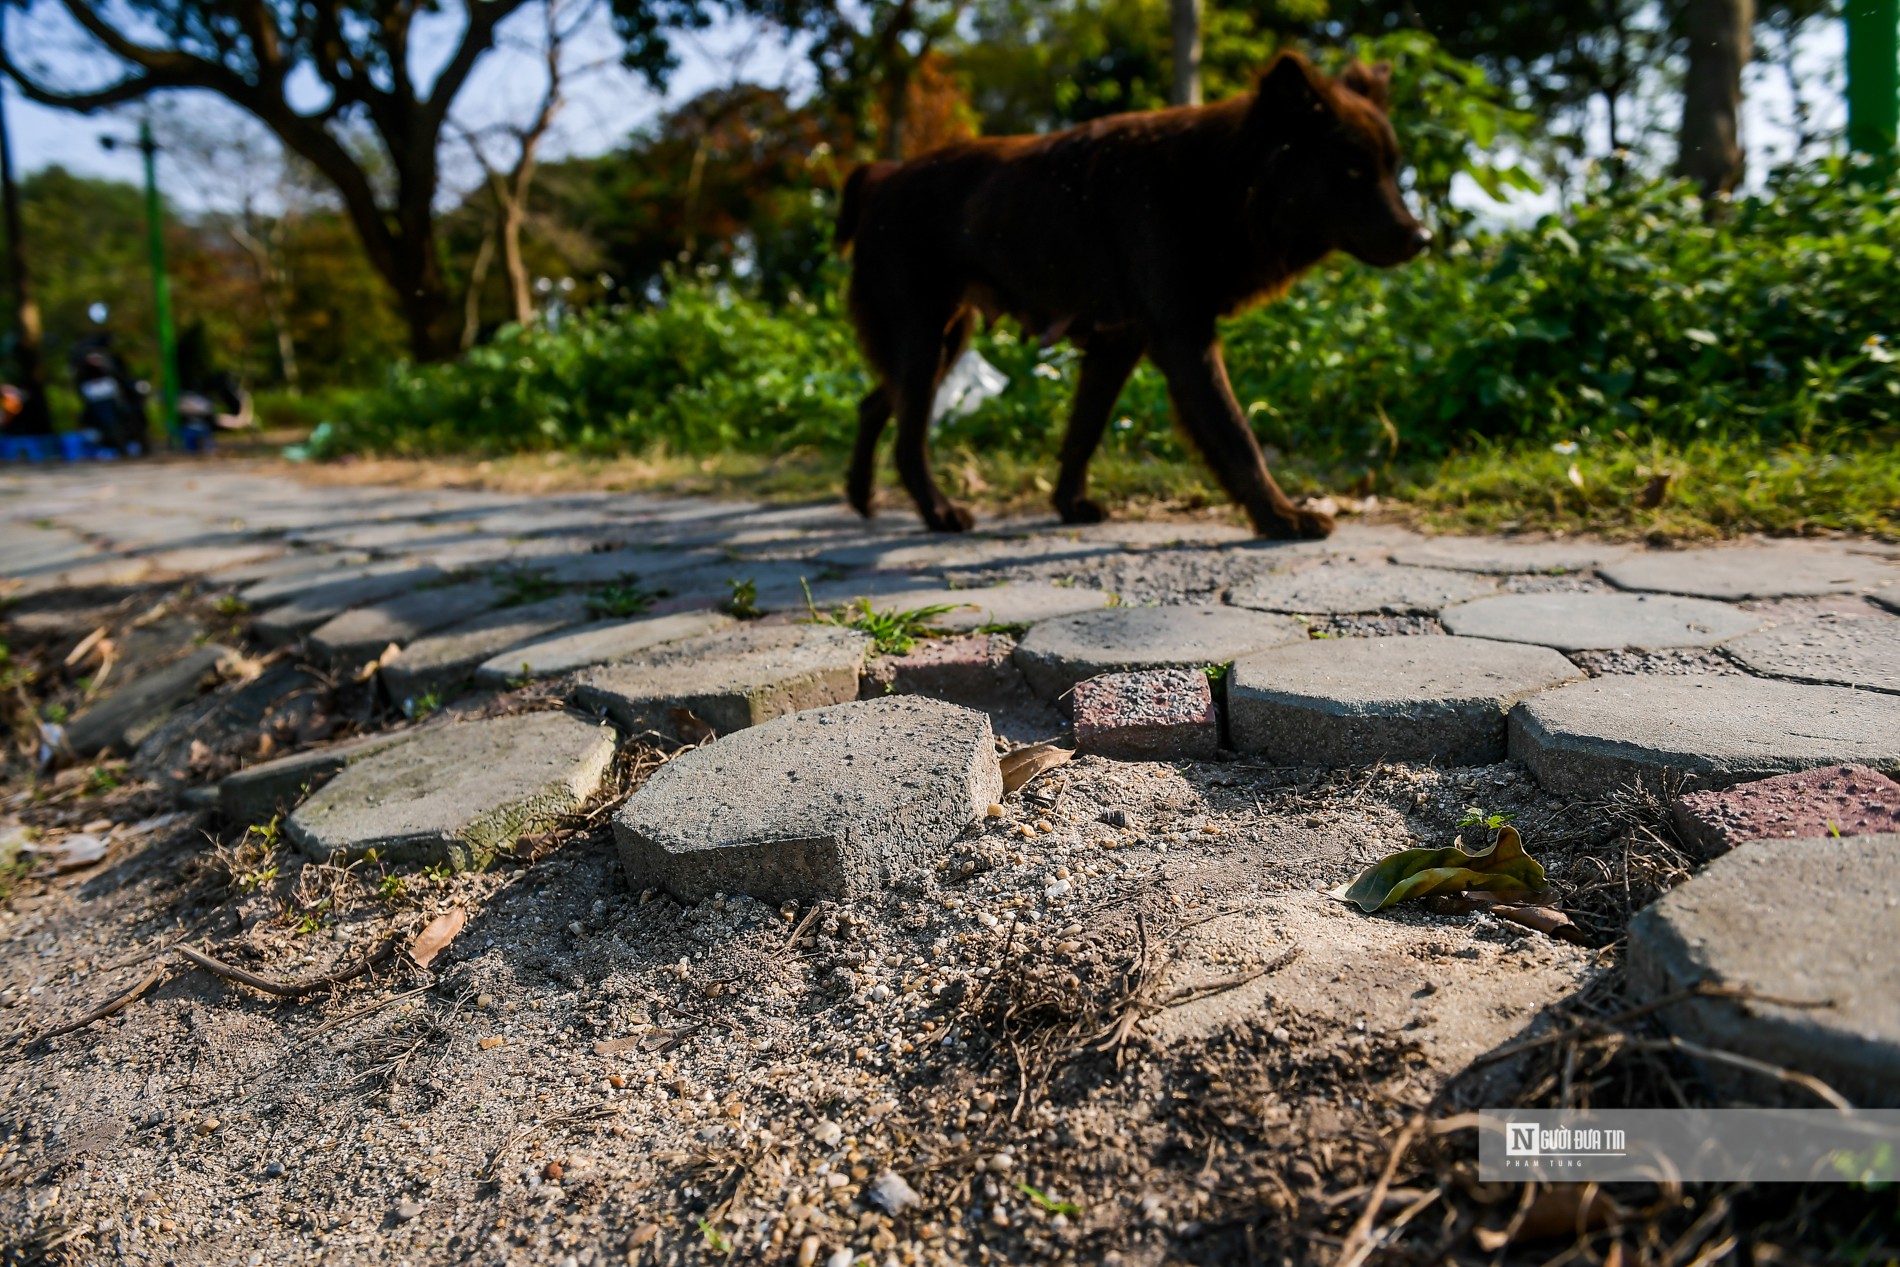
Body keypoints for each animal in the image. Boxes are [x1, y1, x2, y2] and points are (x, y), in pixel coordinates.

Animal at [839, 52, 1428, 539]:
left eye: (1392, 169)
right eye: (1353, 171)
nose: (1422, 238)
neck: (1219, 180)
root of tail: (881, 176)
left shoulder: (1116, 343)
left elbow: (1084, 430)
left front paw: (1069, 504)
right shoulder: (1183, 337)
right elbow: (1235, 434)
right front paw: (1280, 517)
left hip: (943, 341)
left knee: (876, 404)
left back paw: (862, 497)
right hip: (923, 339)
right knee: (907, 437)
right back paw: (937, 512)